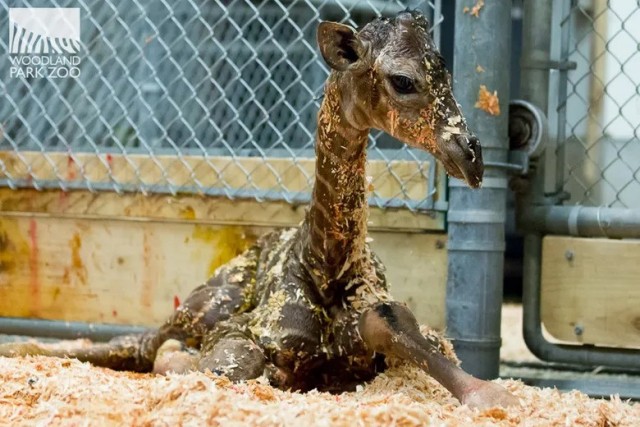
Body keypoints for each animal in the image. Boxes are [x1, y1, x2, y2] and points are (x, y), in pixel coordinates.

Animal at [0, 11, 516, 409]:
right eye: (403, 80)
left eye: (448, 74)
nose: (472, 157)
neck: (324, 264)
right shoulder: (239, 333)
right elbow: (232, 365)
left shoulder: (375, 331)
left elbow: (398, 327)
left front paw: (493, 396)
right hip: (200, 306)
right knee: (142, 343)